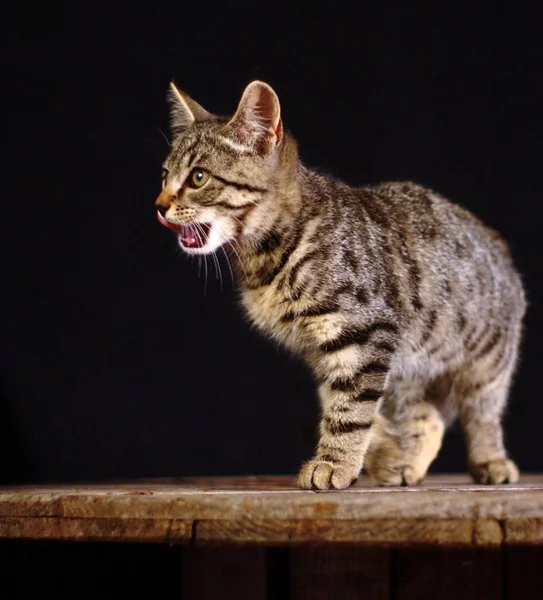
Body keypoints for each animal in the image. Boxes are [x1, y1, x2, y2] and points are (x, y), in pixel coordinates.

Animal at [156, 79, 528, 490]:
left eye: (198, 177)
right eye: (164, 175)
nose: (159, 205)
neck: (268, 256)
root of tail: (495, 241)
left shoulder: (364, 334)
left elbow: (350, 409)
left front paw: (334, 463)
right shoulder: (325, 352)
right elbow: (343, 404)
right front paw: (378, 451)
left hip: (488, 361)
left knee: (482, 412)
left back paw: (491, 460)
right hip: (410, 366)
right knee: (426, 416)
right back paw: (403, 464)